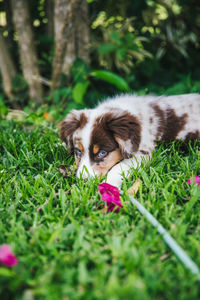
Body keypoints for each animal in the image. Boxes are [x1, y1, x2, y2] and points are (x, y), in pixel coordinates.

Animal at [59, 94, 200, 188]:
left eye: (102, 153)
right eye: (78, 151)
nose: (83, 181)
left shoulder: (142, 152)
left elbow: (119, 167)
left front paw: (109, 186)